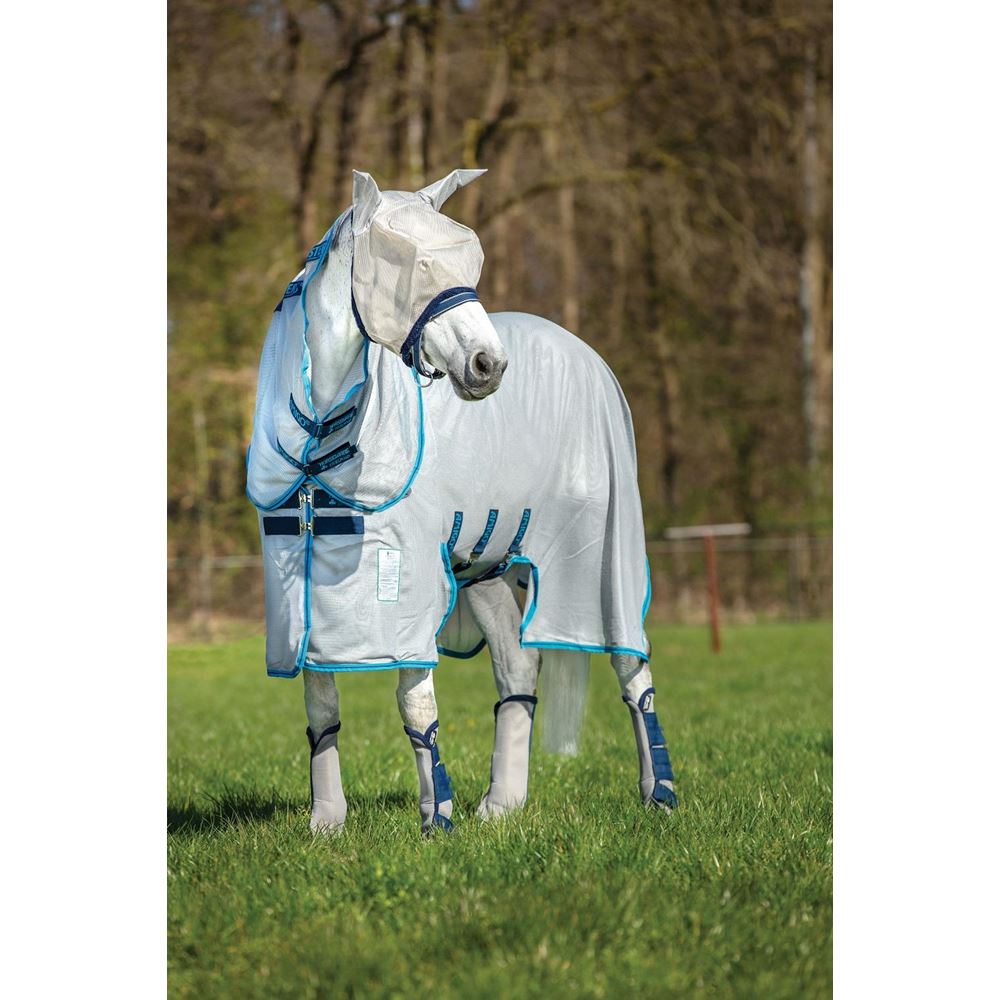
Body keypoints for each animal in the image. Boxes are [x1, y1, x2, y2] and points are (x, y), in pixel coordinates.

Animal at [247, 168, 677, 834]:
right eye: (415, 264)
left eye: (468, 262)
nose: (488, 365)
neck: (324, 430)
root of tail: (584, 354)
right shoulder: (301, 592)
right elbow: (321, 703)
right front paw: (326, 821)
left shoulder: (404, 584)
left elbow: (414, 702)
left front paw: (435, 819)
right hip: (485, 567)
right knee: (518, 668)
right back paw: (502, 805)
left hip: (601, 559)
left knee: (634, 668)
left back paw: (659, 794)